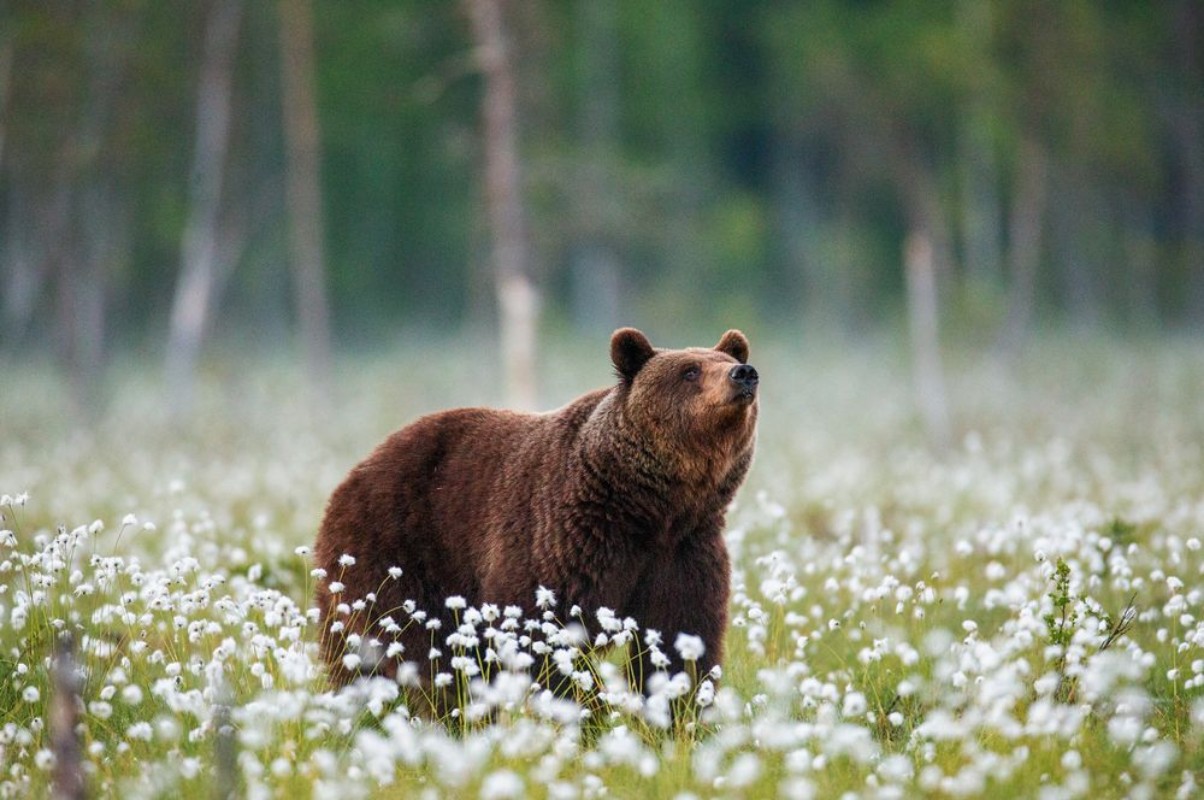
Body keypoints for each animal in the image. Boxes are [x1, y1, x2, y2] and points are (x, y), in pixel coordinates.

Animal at [315, 327, 756, 698]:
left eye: (720, 359)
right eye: (690, 370)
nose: (744, 373)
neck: (648, 508)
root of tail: (351, 476)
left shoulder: (683, 550)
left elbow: (681, 635)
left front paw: (680, 709)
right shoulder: (562, 539)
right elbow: (544, 632)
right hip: (400, 550)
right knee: (417, 649)